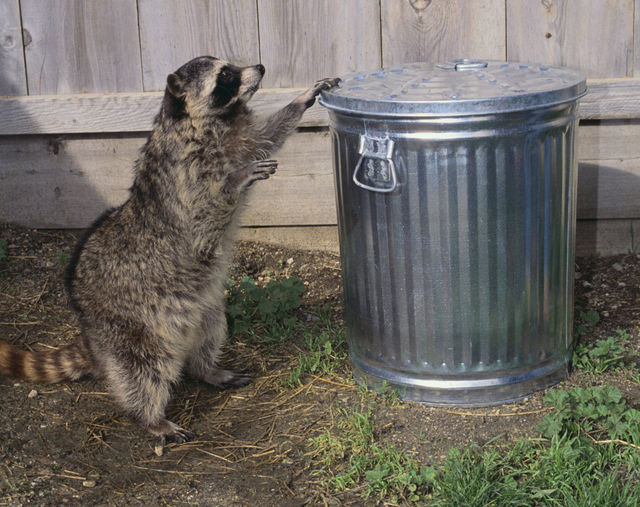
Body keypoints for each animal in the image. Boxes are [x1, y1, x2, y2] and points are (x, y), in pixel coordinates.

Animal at [0, 55, 340, 444]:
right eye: (226, 75)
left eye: (231, 66)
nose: (260, 67)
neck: (213, 120)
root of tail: (91, 337)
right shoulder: (186, 175)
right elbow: (203, 217)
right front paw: (235, 180)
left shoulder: (239, 139)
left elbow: (267, 137)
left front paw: (301, 100)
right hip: (129, 326)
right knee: (142, 371)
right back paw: (150, 417)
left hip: (202, 308)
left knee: (209, 331)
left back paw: (206, 369)